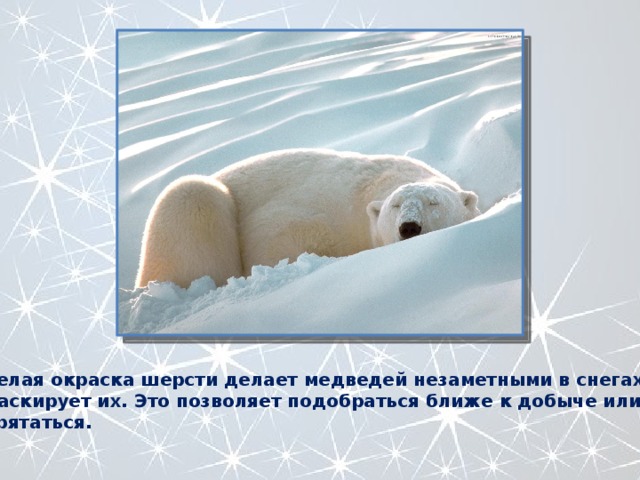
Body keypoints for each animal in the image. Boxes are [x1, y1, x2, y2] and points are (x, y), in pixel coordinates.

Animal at [135, 149, 480, 288]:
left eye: (434, 202)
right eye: (396, 205)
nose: (409, 227)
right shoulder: (323, 211)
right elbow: (276, 237)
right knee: (191, 196)